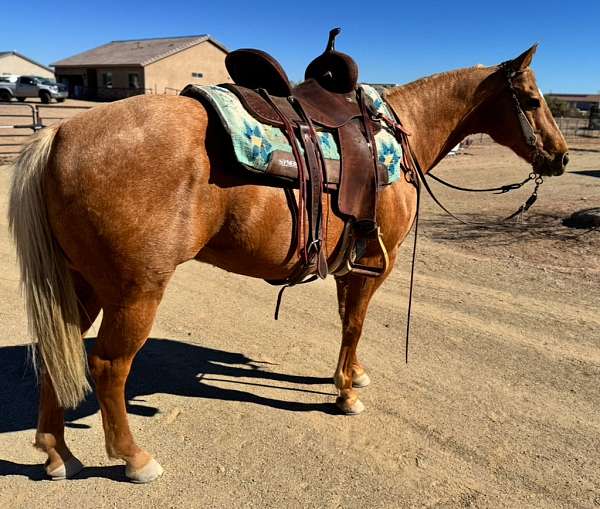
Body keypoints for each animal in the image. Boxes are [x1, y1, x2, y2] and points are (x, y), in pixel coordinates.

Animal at [9, 44, 568, 480]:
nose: (561, 157)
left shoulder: (350, 265)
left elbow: (347, 323)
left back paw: (58, 454)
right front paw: (345, 395)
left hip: (80, 284)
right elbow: (355, 324)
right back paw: (134, 459)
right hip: (134, 291)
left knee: (56, 355)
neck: (399, 134)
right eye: (533, 100)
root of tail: (59, 136)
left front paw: (352, 375)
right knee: (108, 366)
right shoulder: (375, 264)